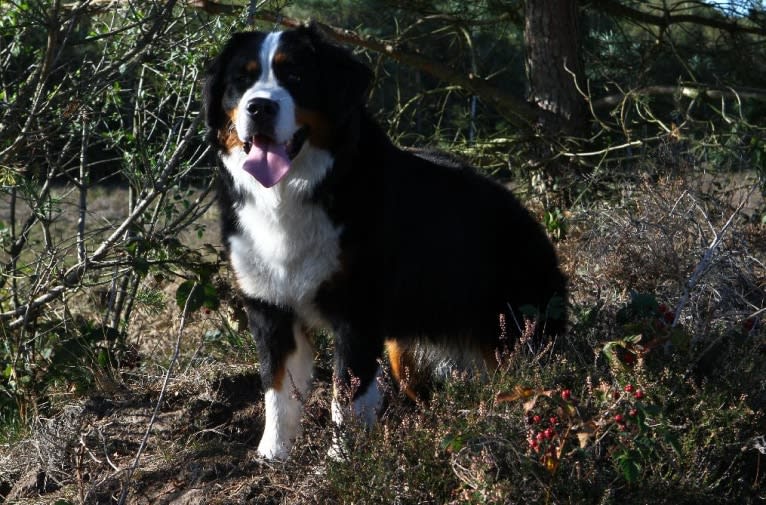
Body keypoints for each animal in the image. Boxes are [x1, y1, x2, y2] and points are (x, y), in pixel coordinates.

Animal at [201, 23, 568, 458]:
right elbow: (277, 389)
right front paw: (274, 454)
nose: (259, 108)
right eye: (241, 80)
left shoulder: (355, 313)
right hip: (402, 349)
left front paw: (343, 460)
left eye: (295, 76)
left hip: (512, 329)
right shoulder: (270, 308)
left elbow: (346, 393)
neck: (292, 195)